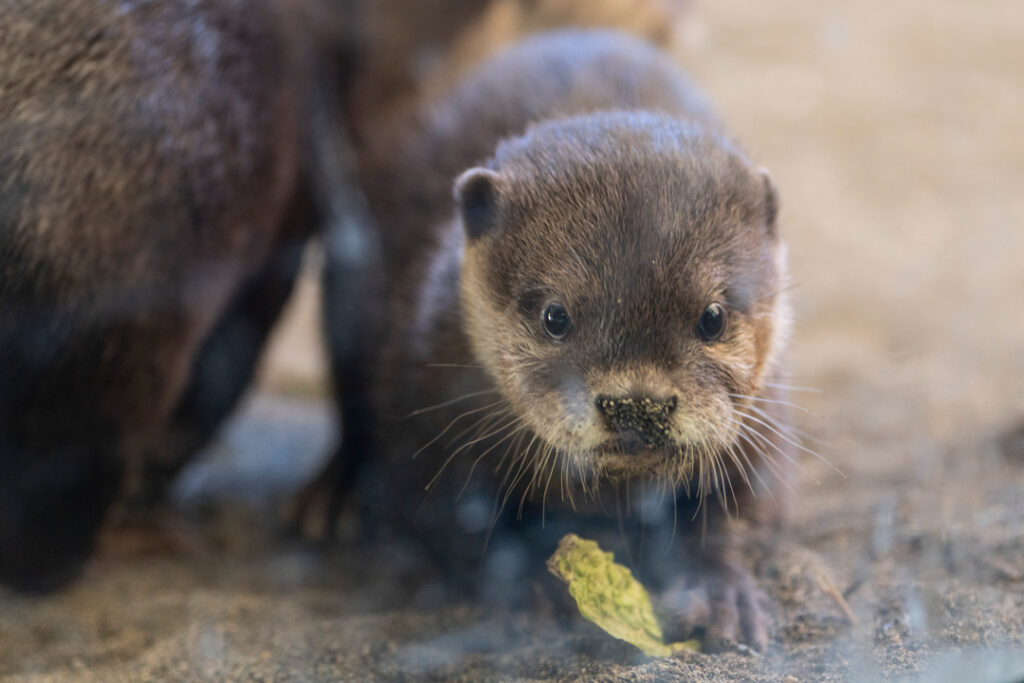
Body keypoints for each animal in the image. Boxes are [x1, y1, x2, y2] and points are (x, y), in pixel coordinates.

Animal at [326, 30, 794, 652]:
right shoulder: (420, 403)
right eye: (555, 316)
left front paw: (724, 597)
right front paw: (527, 594)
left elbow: (745, 511)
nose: (637, 404)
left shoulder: (765, 421)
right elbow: (443, 517)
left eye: (712, 317)